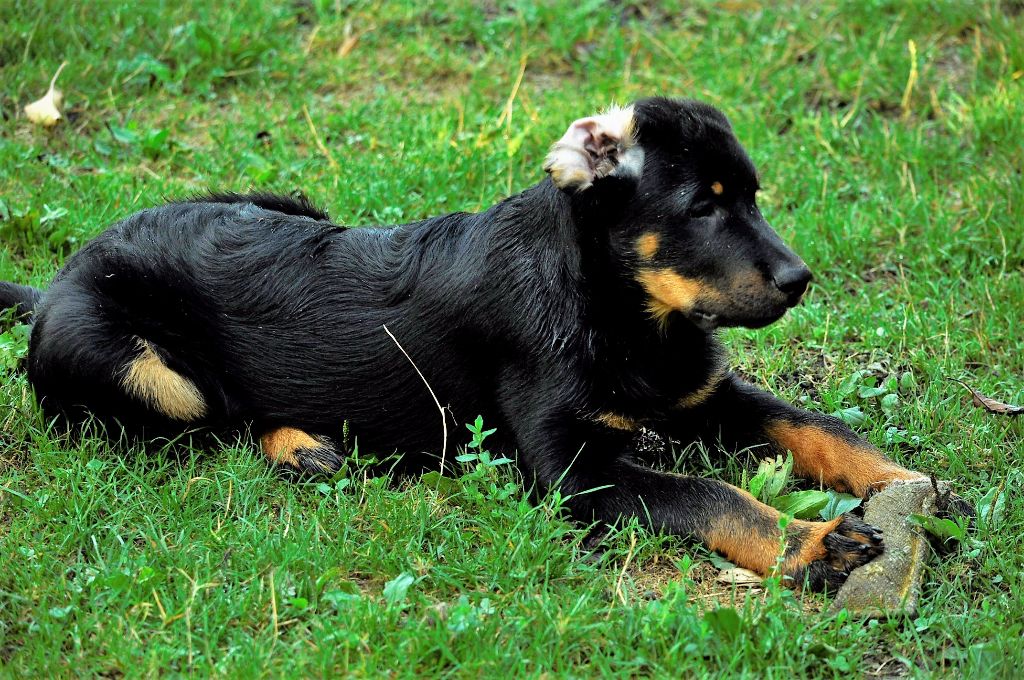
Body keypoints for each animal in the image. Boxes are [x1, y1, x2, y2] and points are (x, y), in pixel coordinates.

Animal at [0, 96, 958, 589]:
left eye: (752, 195)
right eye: (703, 206)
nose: (800, 280)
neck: (621, 314)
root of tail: (58, 279)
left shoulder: (705, 393)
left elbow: (816, 427)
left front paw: (911, 488)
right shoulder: (574, 473)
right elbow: (709, 495)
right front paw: (812, 545)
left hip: (287, 201)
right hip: (142, 370)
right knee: (211, 422)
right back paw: (302, 446)